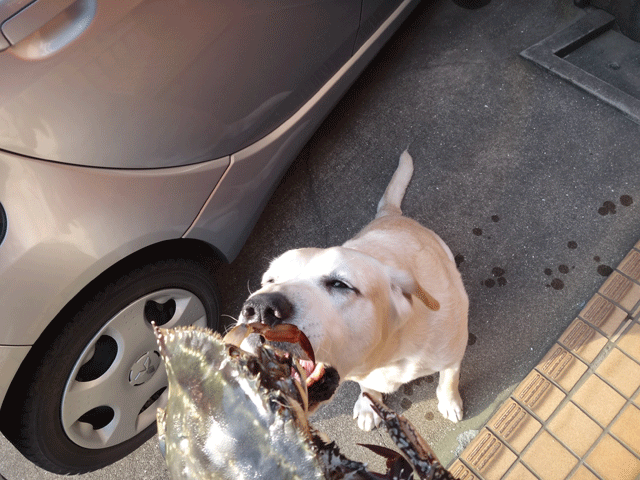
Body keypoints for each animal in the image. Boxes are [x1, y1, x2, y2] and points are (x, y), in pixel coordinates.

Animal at [238, 151, 468, 432]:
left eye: (340, 284)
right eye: (269, 280)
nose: (260, 308)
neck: (386, 353)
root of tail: (388, 215)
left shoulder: (453, 353)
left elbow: (449, 378)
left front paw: (449, 401)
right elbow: (368, 387)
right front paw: (368, 404)